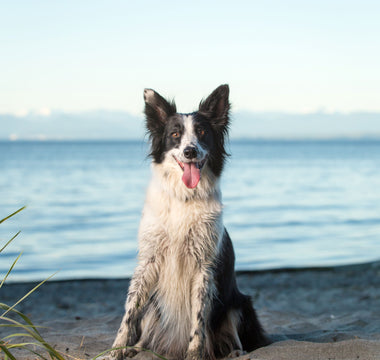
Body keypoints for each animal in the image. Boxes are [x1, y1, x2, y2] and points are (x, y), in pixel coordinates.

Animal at [111, 85, 268, 360]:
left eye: (202, 133)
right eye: (175, 134)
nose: (190, 151)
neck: (183, 198)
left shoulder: (203, 267)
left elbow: (199, 319)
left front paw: (195, 353)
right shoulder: (149, 261)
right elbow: (130, 311)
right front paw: (117, 349)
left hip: (239, 304)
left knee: (234, 333)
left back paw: (235, 352)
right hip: (154, 306)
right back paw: (136, 348)